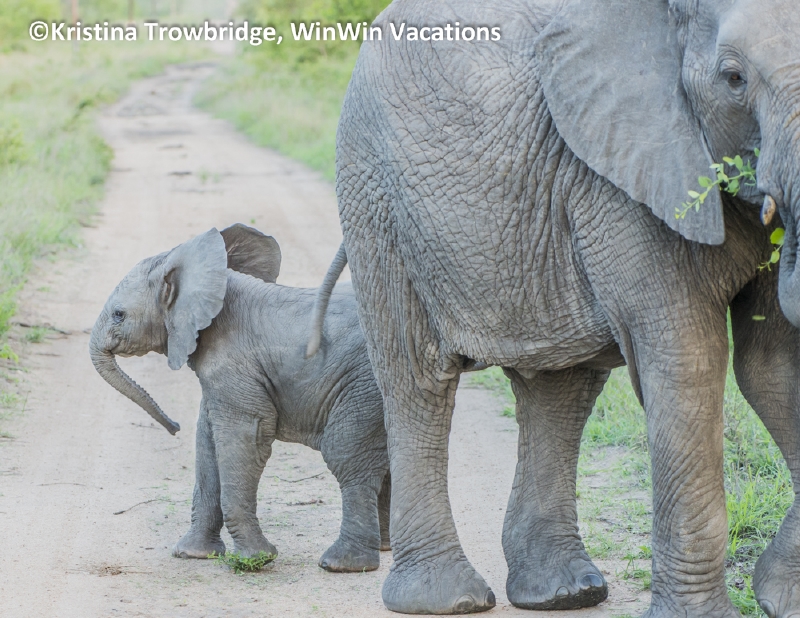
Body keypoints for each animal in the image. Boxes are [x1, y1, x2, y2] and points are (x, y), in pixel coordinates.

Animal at [90, 224, 391, 572]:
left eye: (118, 314)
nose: (174, 427)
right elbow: (207, 446)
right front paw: (193, 554)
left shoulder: (236, 369)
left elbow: (245, 439)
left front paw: (256, 559)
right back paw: (383, 548)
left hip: (363, 382)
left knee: (347, 454)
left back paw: (341, 564)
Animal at [316, 0, 800, 615]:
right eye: (734, 79)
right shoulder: (622, 177)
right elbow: (688, 360)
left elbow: (771, 367)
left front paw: (782, 594)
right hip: (375, 196)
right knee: (417, 378)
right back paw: (447, 599)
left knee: (559, 389)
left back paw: (563, 593)